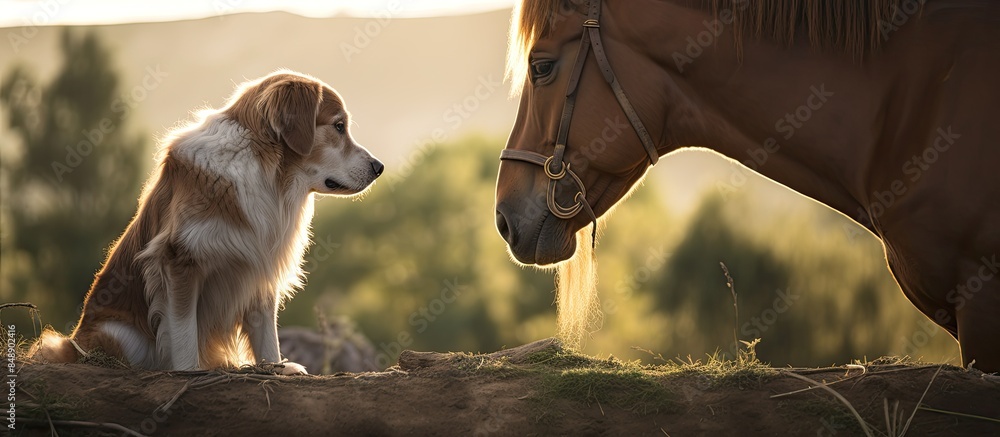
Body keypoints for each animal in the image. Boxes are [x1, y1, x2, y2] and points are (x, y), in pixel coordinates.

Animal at [29, 70, 382, 372]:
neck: (265, 170)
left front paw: (276, 368)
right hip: (121, 335)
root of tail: (72, 343)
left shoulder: (260, 264)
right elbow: (184, 334)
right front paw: (189, 372)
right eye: (339, 126)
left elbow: (267, 336)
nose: (379, 167)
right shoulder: (179, 260)